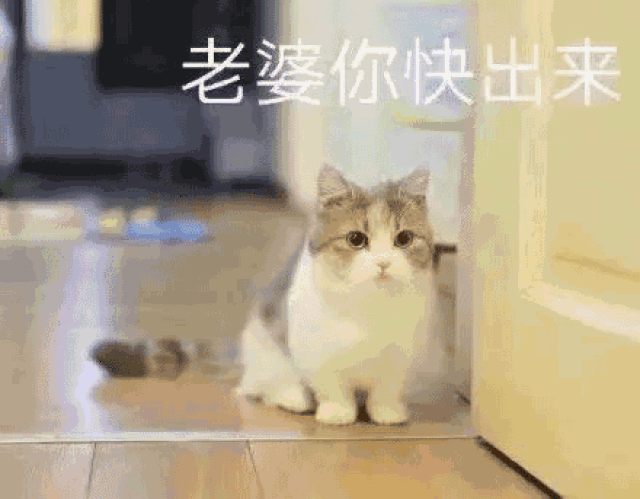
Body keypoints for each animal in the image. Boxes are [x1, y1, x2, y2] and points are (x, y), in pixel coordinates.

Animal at [236, 164, 443, 426]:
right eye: (356, 239)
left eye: (404, 238)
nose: (383, 262)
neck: (370, 305)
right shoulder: (320, 357)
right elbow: (334, 390)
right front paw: (337, 414)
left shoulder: (398, 362)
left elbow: (385, 392)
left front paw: (387, 414)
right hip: (265, 349)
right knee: (270, 386)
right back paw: (296, 399)